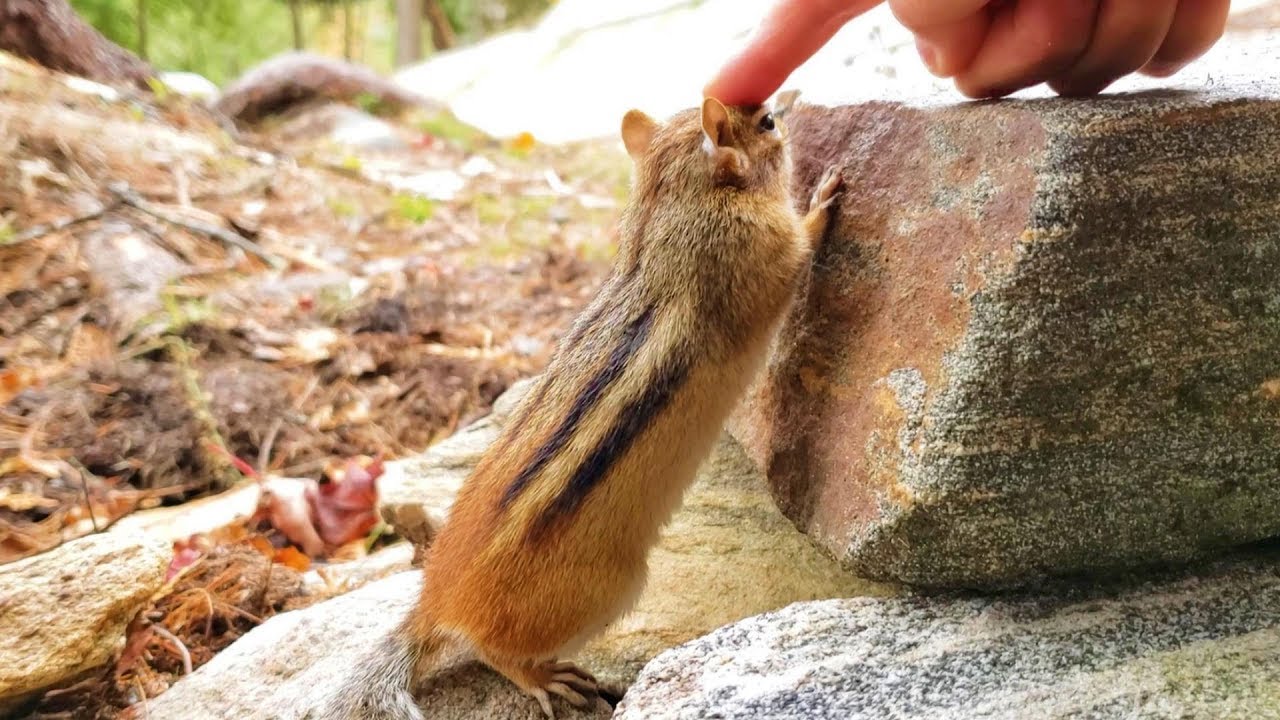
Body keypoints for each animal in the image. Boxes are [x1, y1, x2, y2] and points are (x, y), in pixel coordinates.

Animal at [319, 93, 842, 720]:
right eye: (765, 123)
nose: (788, 103)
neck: (668, 212)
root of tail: (434, 605)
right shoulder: (765, 254)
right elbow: (801, 246)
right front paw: (825, 197)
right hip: (607, 591)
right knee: (495, 653)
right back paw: (548, 679)